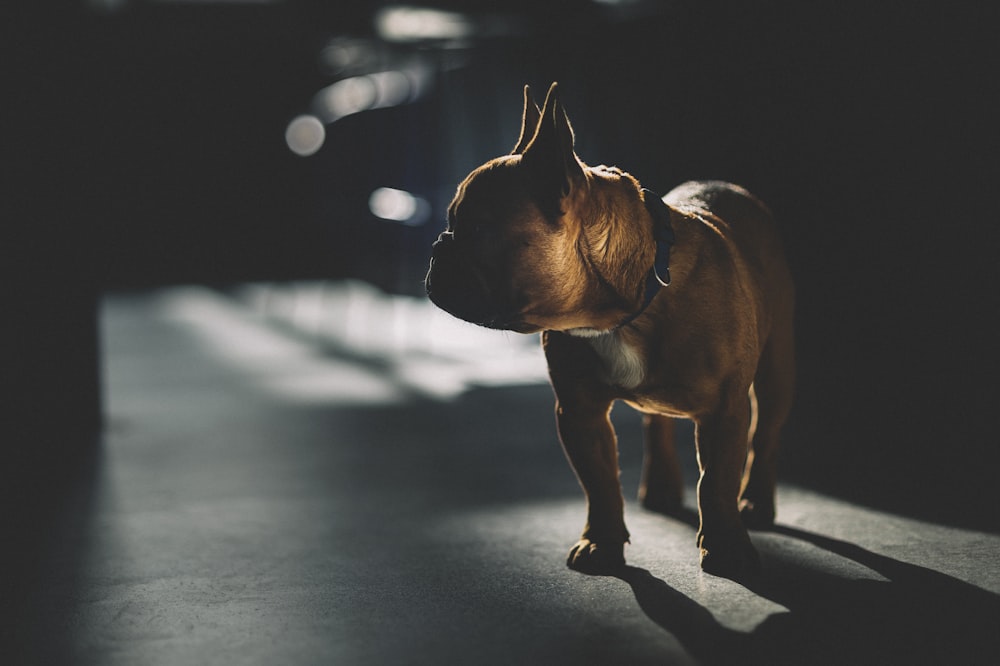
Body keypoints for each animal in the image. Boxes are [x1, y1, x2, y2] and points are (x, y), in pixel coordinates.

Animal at [426, 81, 792, 576]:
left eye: (478, 230)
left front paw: (726, 549)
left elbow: (716, 482)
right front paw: (601, 543)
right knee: (656, 423)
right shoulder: (580, 412)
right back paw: (660, 487)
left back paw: (756, 502)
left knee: (765, 434)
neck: (623, 311)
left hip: (776, 371)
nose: (437, 245)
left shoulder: (724, 411)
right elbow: (599, 484)